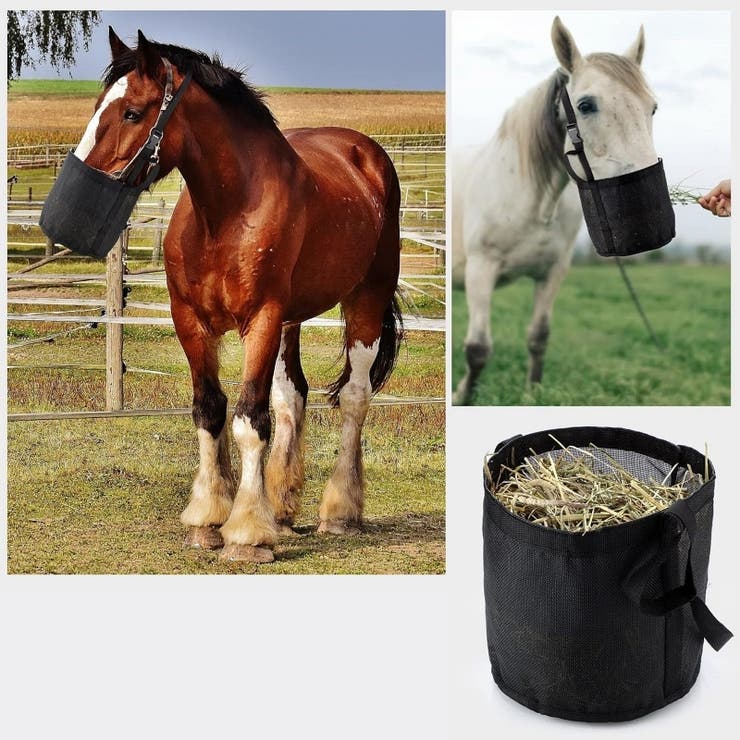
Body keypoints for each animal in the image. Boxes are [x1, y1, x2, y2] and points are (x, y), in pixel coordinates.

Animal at [78, 28, 403, 562]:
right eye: (98, 104)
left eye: (132, 112)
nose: (85, 188)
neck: (225, 215)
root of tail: (364, 153)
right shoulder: (190, 320)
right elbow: (210, 410)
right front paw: (209, 519)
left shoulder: (262, 319)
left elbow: (250, 419)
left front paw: (247, 532)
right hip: (293, 320)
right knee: (293, 396)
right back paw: (283, 506)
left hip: (365, 299)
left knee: (354, 397)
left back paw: (338, 512)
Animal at [453, 16, 661, 405]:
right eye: (586, 105)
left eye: (651, 107)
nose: (643, 201)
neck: (536, 202)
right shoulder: (480, 270)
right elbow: (478, 348)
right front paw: (464, 396)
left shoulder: (552, 272)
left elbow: (538, 337)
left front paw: (532, 393)